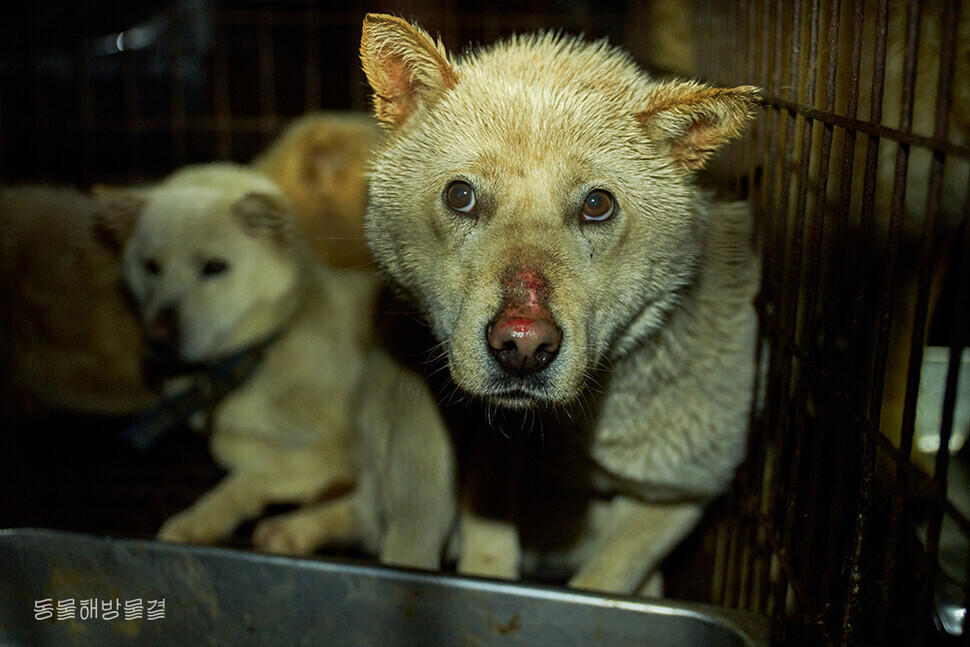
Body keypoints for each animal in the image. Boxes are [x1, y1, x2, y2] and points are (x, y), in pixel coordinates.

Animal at [360, 12, 760, 596]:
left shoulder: (678, 492)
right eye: (460, 195)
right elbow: (488, 549)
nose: (524, 345)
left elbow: (610, 575)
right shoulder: (487, 453)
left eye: (597, 204)